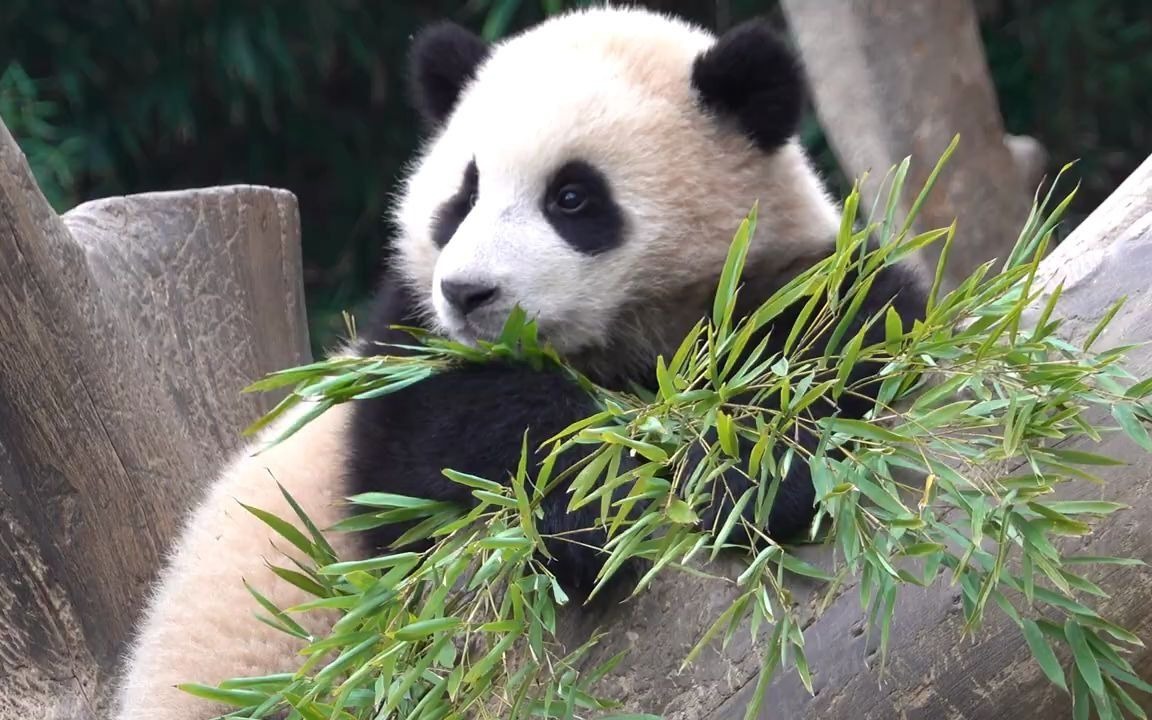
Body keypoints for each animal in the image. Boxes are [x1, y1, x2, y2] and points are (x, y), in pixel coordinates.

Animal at [113, 6, 928, 719]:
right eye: (462, 196)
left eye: (572, 197)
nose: (468, 292)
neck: (615, 343)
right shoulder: (401, 357)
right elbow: (445, 446)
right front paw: (596, 511)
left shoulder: (774, 277)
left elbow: (853, 333)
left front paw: (761, 472)